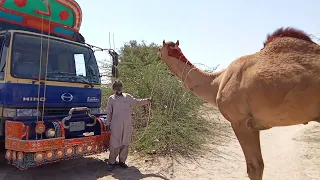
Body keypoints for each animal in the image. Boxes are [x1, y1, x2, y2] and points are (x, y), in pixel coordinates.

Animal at [157, 27, 320, 180]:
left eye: (159, 48)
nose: (156, 53)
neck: (217, 81)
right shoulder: (254, 124)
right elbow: (259, 165)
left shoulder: (240, 121)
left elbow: (254, 167)